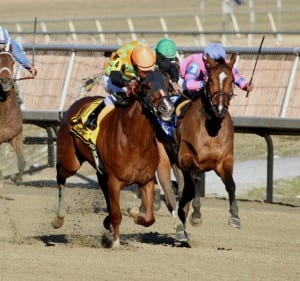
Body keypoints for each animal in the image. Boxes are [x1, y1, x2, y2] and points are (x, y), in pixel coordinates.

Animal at [52, 70, 175, 247]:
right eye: (146, 86)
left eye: (168, 86)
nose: (167, 108)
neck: (134, 140)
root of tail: (78, 102)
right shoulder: (115, 181)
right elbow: (117, 215)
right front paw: (116, 242)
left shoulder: (146, 180)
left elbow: (149, 218)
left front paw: (134, 213)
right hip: (71, 162)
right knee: (60, 175)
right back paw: (59, 218)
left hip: (101, 172)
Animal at [161, 54, 240, 241]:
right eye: (210, 79)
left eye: (232, 80)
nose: (220, 108)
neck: (212, 126)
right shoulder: (187, 157)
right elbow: (196, 177)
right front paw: (196, 215)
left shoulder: (224, 160)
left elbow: (231, 184)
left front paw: (234, 216)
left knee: (185, 193)